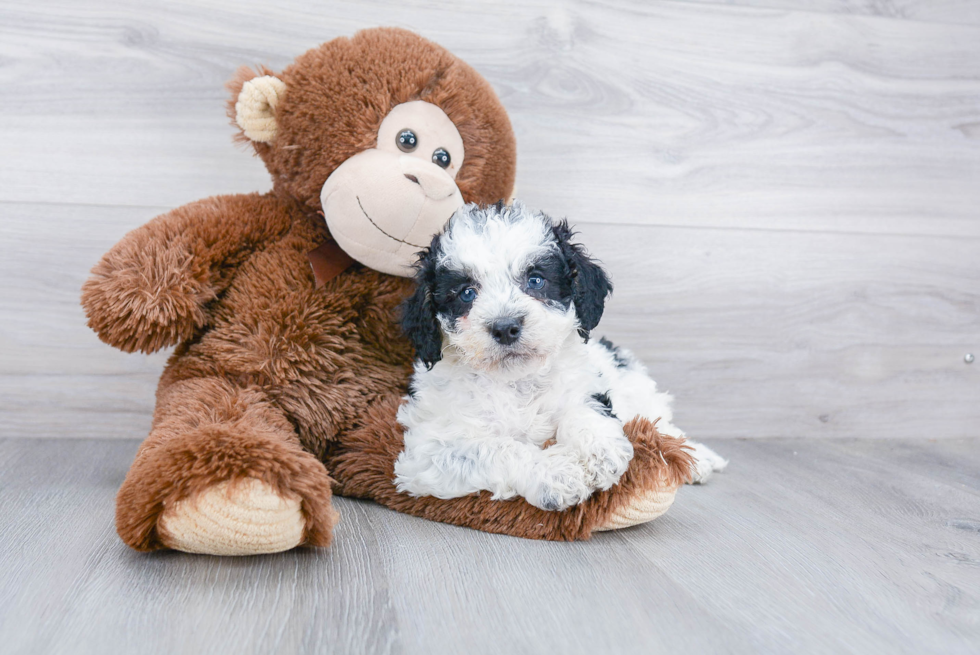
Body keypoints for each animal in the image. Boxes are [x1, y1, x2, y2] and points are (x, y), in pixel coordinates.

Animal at [394, 201, 724, 512]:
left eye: (536, 280)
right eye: (466, 293)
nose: (505, 327)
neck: (517, 382)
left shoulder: (587, 384)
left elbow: (583, 409)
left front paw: (598, 451)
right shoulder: (428, 450)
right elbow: (493, 449)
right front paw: (555, 473)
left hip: (635, 386)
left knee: (661, 422)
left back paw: (700, 457)